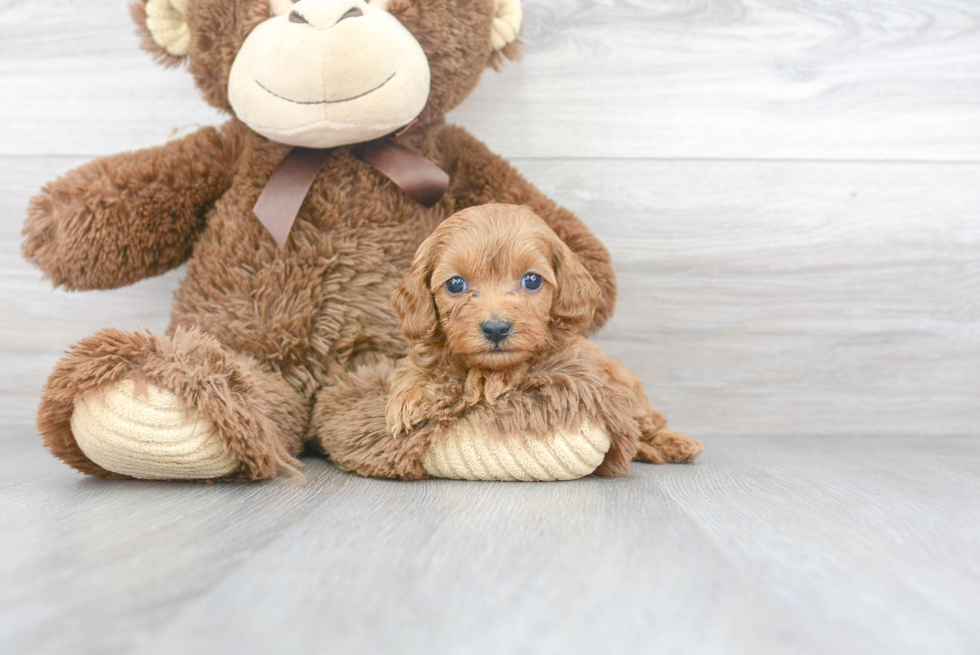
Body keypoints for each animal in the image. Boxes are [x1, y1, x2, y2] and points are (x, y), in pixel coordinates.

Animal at [386, 202, 700, 480]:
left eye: (532, 280)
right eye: (455, 284)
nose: (496, 329)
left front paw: (487, 382)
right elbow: (417, 367)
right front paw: (410, 397)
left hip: (627, 387)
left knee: (646, 424)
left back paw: (676, 443)